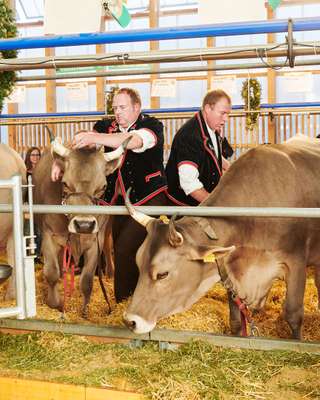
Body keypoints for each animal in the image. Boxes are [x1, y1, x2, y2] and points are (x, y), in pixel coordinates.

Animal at [32, 136, 127, 318]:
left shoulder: (95, 241)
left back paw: (110, 273)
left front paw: (84, 311)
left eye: (103, 187)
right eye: (64, 183)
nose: (84, 224)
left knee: (108, 247)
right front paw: (57, 304)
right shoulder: (49, 236)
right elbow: (51, 273)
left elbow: (87, 280)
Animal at [124, 136, 320, 340]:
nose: (130, 321)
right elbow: (236, 320)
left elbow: (293, 314)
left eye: (163, 274)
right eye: (138, 263)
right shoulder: (230, 272)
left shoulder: (296, 262)